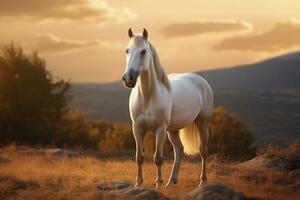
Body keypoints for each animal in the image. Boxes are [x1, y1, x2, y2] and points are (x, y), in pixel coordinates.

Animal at [122, 28, 213, 188]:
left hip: (202, 124)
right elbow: (139, 157)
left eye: (143, 51)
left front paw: (158, 184)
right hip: (173, 130)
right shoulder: (137, 128)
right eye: (127, 50)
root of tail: (201, 80)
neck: (148, 96)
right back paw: (171, 182)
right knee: (179, 151)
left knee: (203, 151)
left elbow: (158, 158)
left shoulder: (160, 129)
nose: (128, 78)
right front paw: (138, 184)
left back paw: (202, 182)